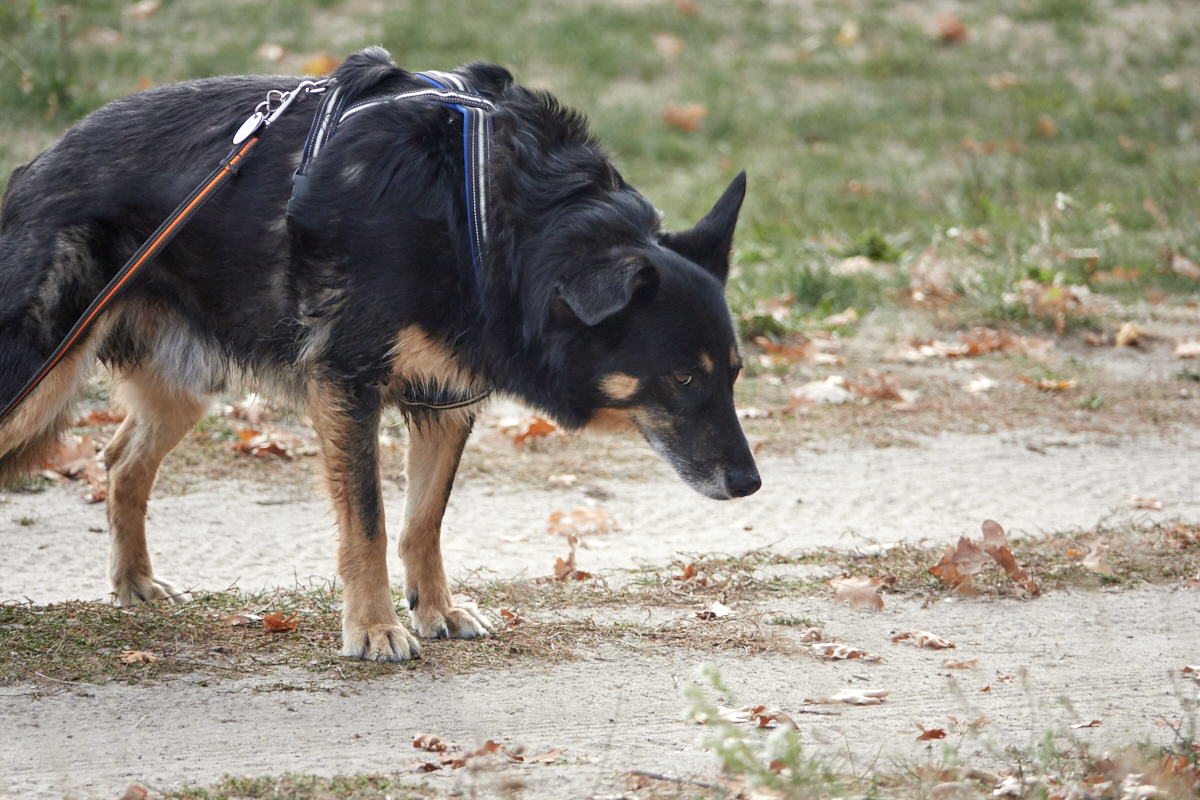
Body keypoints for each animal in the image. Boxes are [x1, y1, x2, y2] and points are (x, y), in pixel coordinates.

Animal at [0, 47, 760, 661]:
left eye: (733, 374)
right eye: (682, 377)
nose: (750, 484)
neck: (483, 215)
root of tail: (33, 168)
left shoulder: (447, 398)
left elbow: (424, 520)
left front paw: (436, 609)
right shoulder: (348, 385)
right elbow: (367, 520)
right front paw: (372, 628)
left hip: (180, 386)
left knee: (120, 461)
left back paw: (134, 582)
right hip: (37, 380)